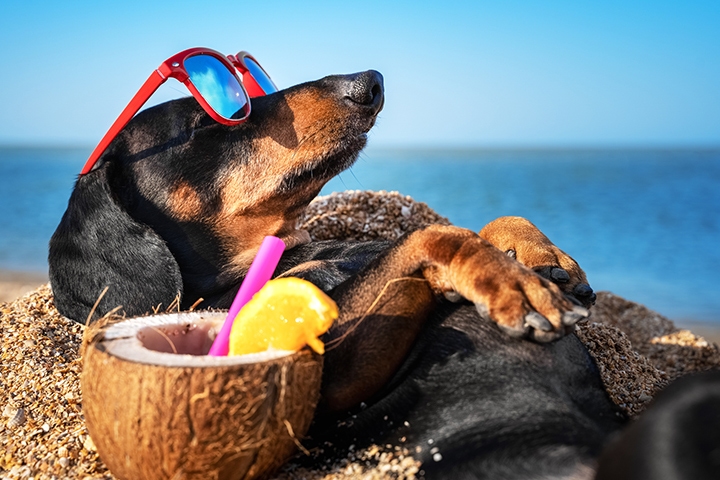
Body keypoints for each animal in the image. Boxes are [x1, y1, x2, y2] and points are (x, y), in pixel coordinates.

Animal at [50, 69, 632, 478]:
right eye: (203, 122)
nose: (369, 82)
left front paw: (539, 258)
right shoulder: (324, 390)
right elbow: (431, 235)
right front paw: (514, 285)